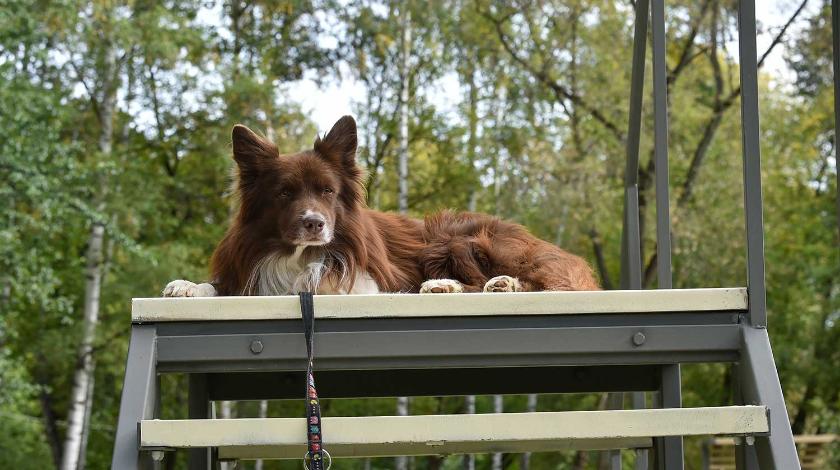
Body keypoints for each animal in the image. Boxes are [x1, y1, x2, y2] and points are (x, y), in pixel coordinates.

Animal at [162, 114, 596, 298]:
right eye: (284, 193)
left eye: (328, 191)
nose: (314, 224)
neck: (300, 255)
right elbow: (221, 286)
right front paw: (187, 285)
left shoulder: (368, 278)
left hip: (453, 237)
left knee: (533, 280)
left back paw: (479, 283)